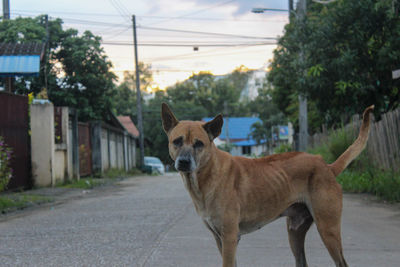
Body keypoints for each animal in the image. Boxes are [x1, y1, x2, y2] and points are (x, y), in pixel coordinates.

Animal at [161, 103, 374, 267]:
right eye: (177, 141)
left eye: (199, 144)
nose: (183, 162)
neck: (206, 176)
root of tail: (326, 166)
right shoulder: (220, 239)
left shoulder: (229, 238)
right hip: (295, 233)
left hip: (328, 229)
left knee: (341, 263)